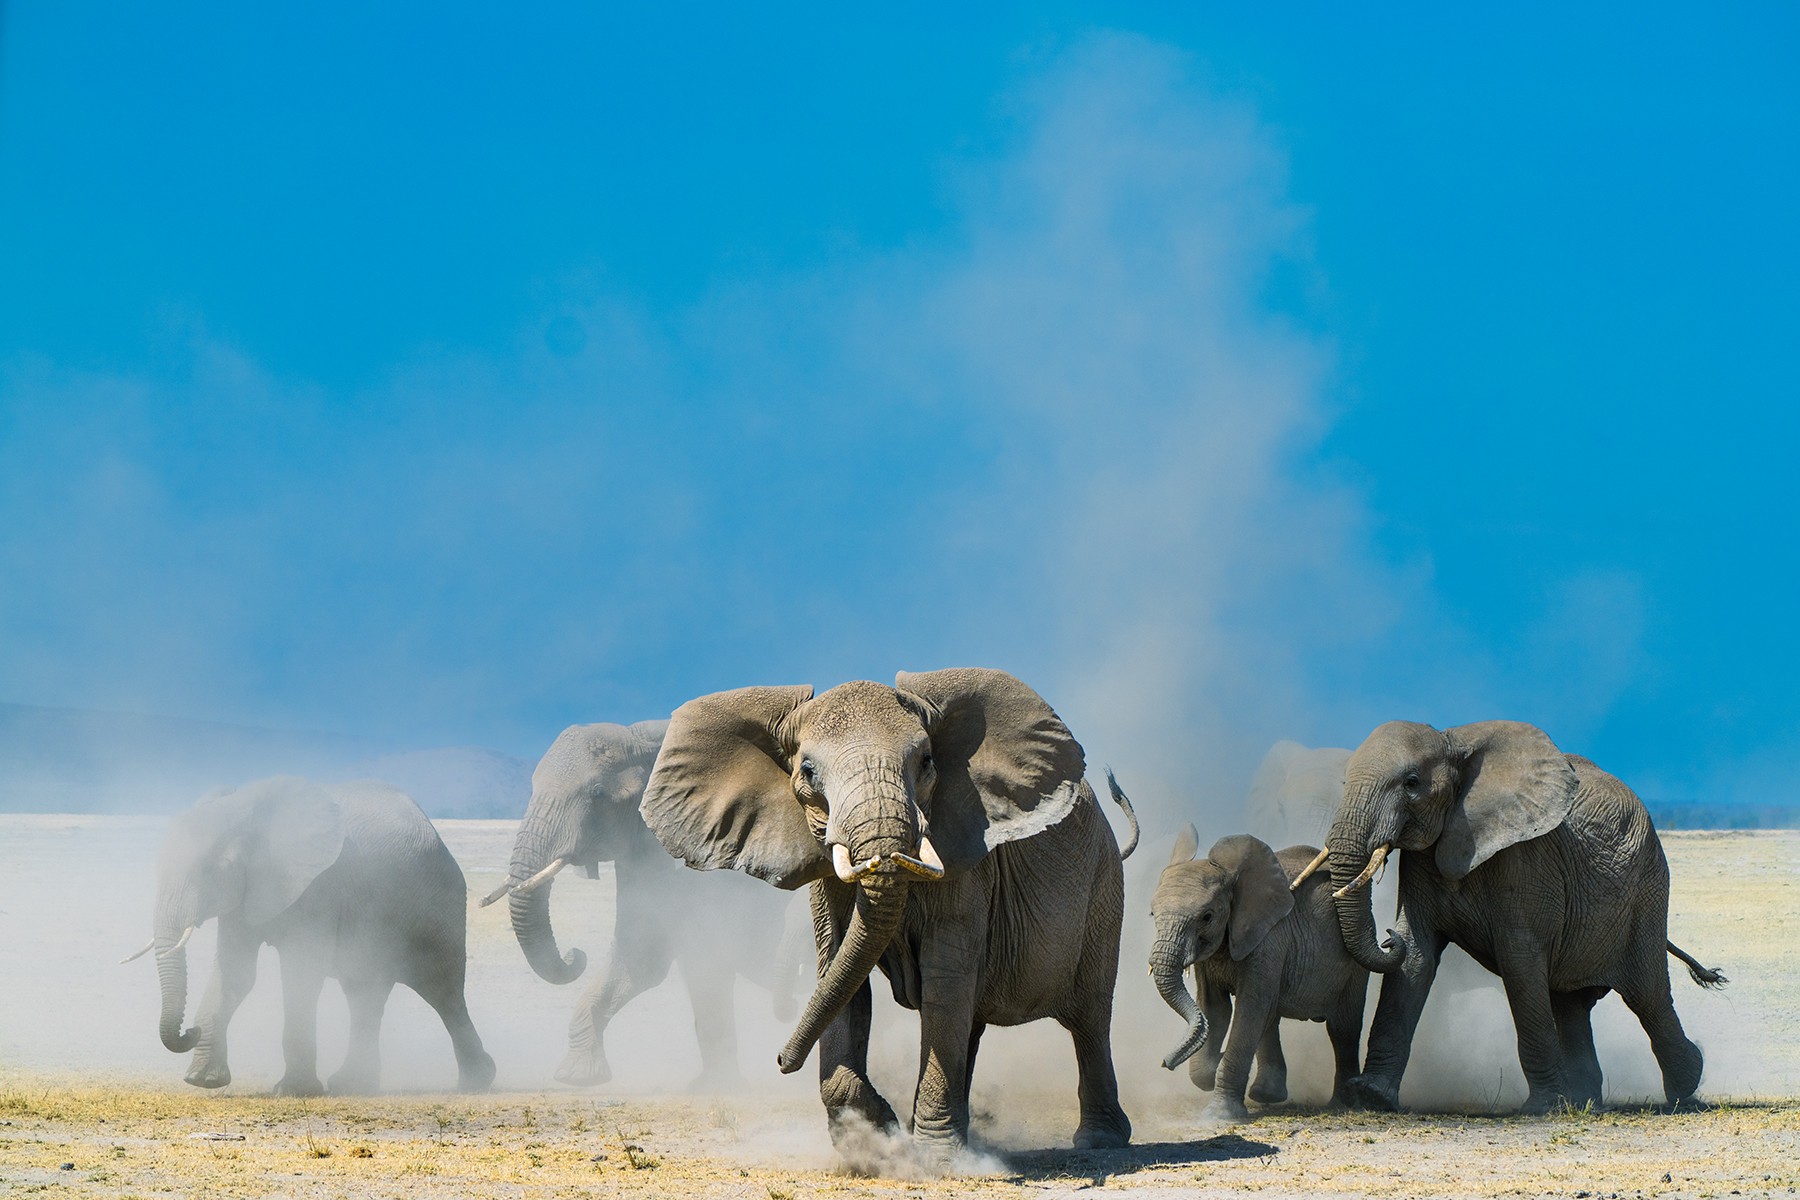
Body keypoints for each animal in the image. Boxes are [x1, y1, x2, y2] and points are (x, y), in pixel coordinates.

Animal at [126, 776, 495, 1094]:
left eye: (218, 868)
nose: (189, 1030)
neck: (248, 807)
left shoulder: (317, 887)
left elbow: (300, 972)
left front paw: (291, 1091)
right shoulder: (245, 895)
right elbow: (236, 974)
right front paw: (202, 1081)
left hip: (438, 905)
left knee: (443, 992)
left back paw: (476, 1082)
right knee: (365, 993)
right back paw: (353, 1085)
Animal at [484, 719, 810, 1089]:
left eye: (597, 794)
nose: (575, 955)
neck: (644, 739)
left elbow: (703, 956)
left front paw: (716, 1087)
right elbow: (640, 957)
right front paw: (578, 1077)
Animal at [638, 668, 1140, 1161]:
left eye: (927, 762)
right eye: (808, 772)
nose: (780, 1060)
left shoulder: (965, 859)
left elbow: (943, 981)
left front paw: (934, 1160)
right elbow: (843, 978)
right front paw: (877, 1138)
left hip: (1103, 887)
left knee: (1089, 1017)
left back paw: (1098, 1140)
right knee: (973, 1022)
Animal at [1150, 829, 1369, 1120]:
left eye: (1207, 916)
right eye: (1152, 913)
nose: (1165, 1063)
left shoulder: (1270, 938)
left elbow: (1249, 1008)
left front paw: (1219, 1116)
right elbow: (1216, 1008)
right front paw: (1213, 1066)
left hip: (1354, 962)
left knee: (1343, 1028)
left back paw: (1341, 1104)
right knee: (1271, 1017)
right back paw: (1266, 1095)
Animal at [1319, 720, 1726, 1113]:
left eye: (1412, 783)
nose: (1387, 936)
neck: (1454, 742)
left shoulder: (1526, 860)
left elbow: (1519, 961)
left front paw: (1542, 1108)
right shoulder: (1423, 859)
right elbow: (1416, 958)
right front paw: (1371, 1096)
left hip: (1647, 888)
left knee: (1647, 996)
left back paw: (1686, 1086)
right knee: (1570, 1004)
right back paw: (1585, 1102)